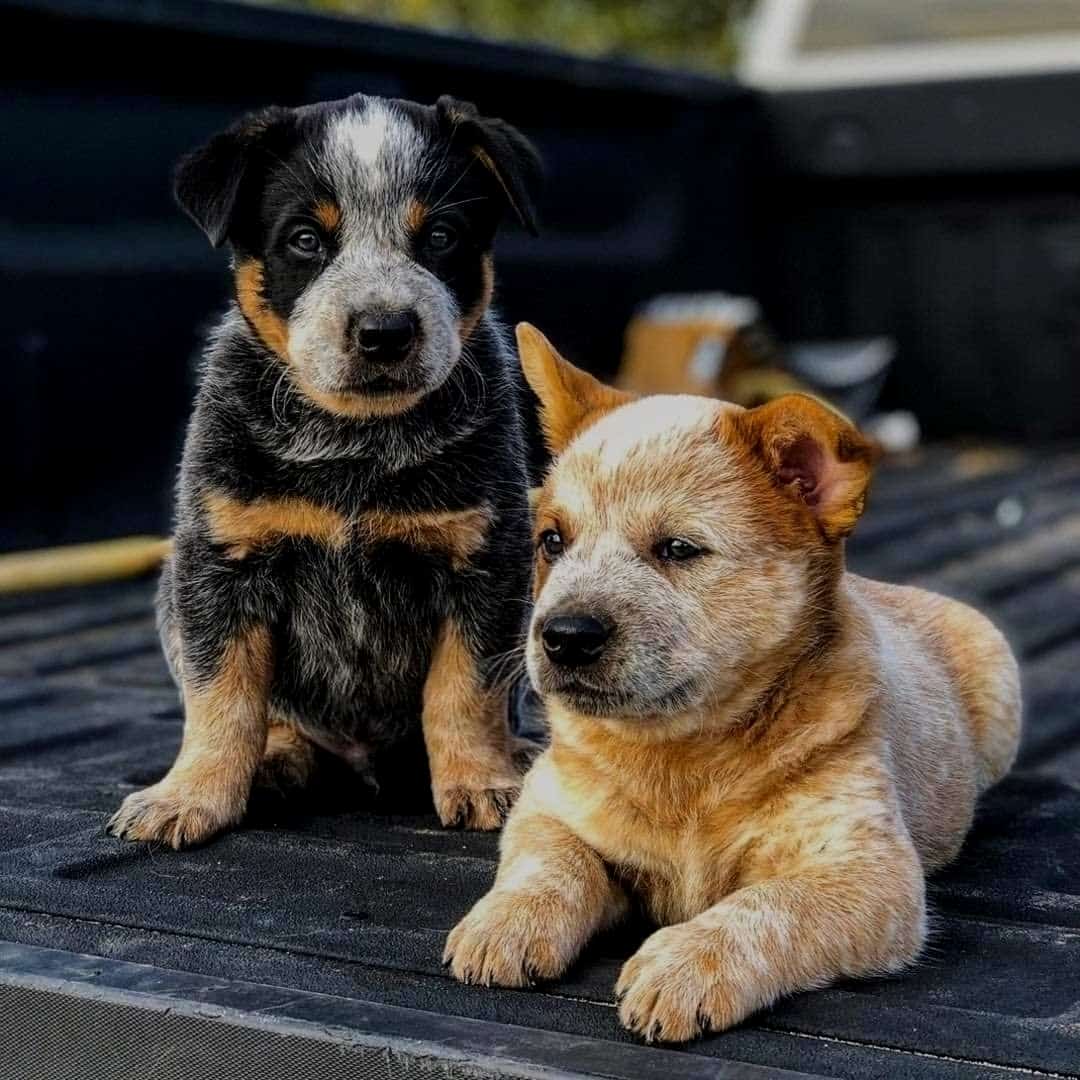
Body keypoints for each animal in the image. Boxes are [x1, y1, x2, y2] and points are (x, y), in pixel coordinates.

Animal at [106, 92, 544, 846]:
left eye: (441, 236)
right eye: (306, 239)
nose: (384, 331)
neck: (354, 447)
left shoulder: (484, 560)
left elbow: (466, 691)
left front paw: (482, 780)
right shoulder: (221, 561)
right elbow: (221, 697)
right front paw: (189, 794)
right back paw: (276, 761)